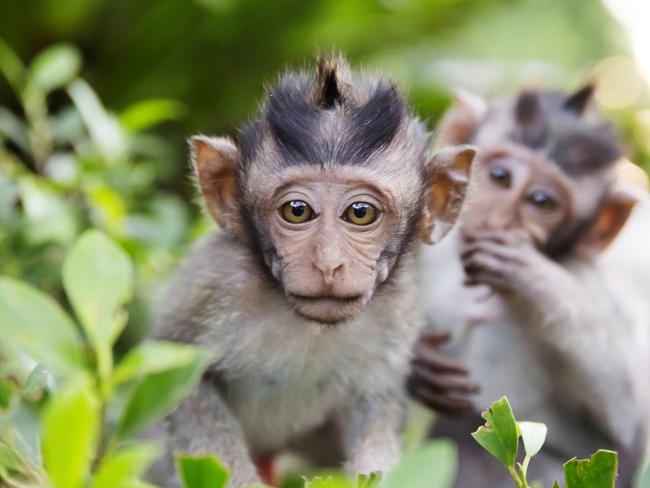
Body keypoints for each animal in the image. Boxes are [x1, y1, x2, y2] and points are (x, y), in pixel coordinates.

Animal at [151, 55, 476, 486]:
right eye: (297, 211)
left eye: (360, 212)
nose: (327, 263)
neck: (310, 326)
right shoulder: (215, 287)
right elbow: (181, 384)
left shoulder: (397, 312)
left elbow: (377, 409)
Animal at [408, 86, 648, 486]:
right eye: (500, 176)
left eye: (541, 201)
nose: (501, 220)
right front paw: (417, 363)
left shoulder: (587, 281)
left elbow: (625, 418)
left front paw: (529, 271)